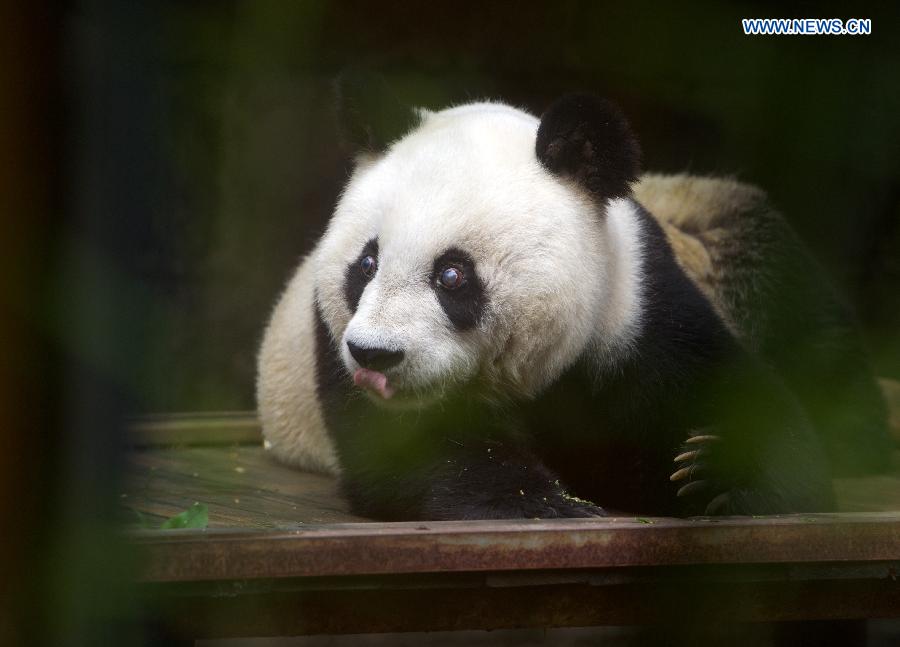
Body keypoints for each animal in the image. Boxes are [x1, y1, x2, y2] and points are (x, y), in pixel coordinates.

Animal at [257, 93, 890, 520]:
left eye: (452, 275)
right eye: (365, 265)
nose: (375, 356)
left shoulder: (636, 306)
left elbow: (747, 403)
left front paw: (713, 472)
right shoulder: (331, 342)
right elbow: (412, 452)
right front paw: (543, 503)